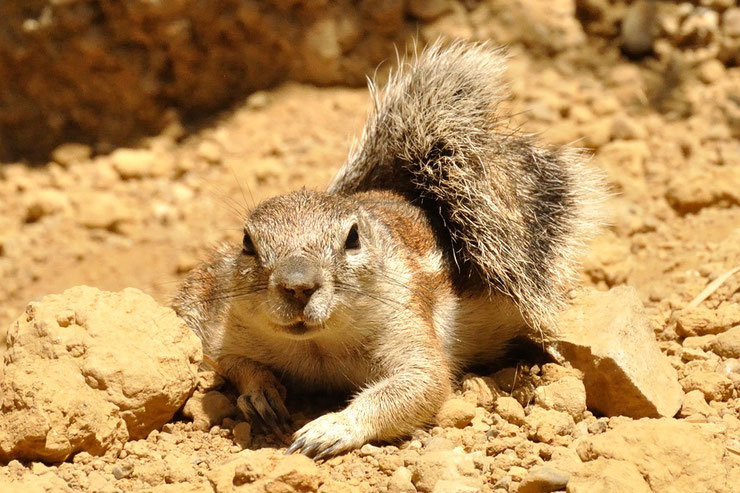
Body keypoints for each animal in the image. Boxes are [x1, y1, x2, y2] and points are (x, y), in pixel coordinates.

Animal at [173, 41, 608, 458]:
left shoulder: (406, 322)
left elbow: (421, 383)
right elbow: (227, 361)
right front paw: (260, 392)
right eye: (247, 243)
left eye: (353, 238)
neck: (317, 345)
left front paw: (332, 427)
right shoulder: (222, 323)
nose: (297, 286)